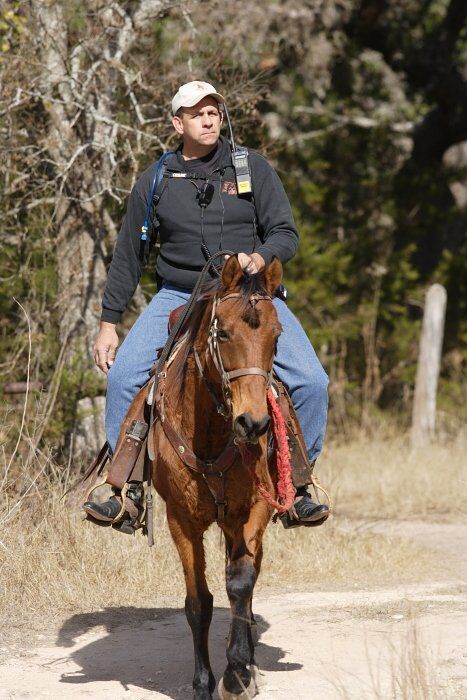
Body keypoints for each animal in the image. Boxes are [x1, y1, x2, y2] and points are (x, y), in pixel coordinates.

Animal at [154, 258, 286, 700]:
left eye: (277, 336)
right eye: (223, 332)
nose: (255, 424)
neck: (210, 434)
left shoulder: (256, 508)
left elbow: (241, 585)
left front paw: (236, 673)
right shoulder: (180, 520)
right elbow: (199, 603)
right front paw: (202, 683)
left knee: (247, 579)